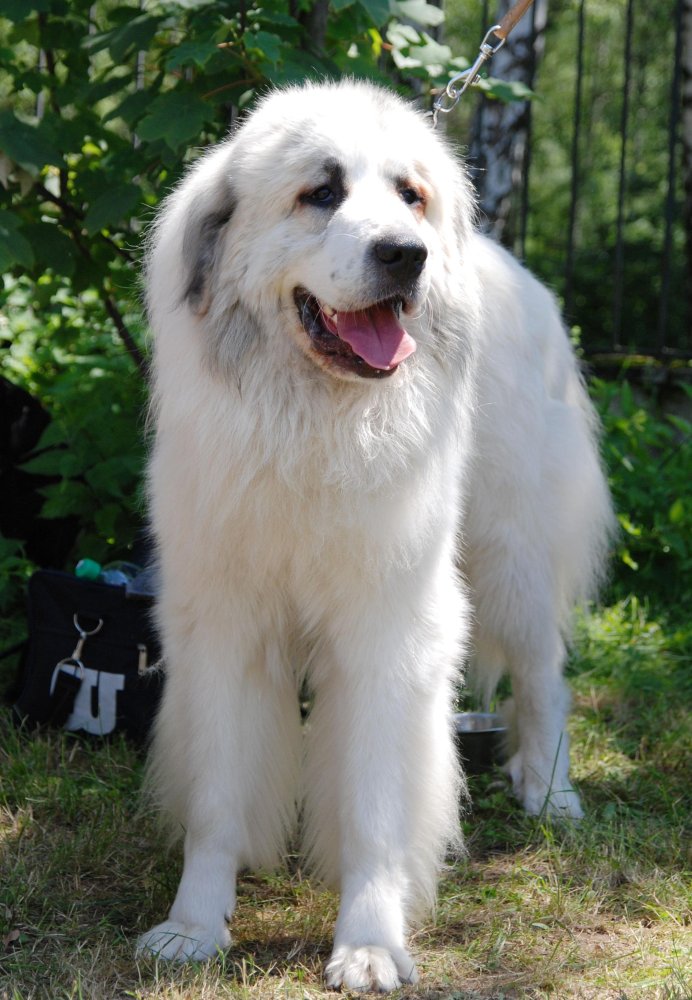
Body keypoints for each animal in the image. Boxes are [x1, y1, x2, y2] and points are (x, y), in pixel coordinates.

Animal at [138, 80, 612, 992]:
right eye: (320, 193)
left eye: (409, 195)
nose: (406, 254)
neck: (314, 425)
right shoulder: (221, 621)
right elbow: (218, 794)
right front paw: (193, 926)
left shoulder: (387, 630)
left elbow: (374, 807)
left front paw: (369, 943)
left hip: (512, 557)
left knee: (544, 678)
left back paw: (552, 793)